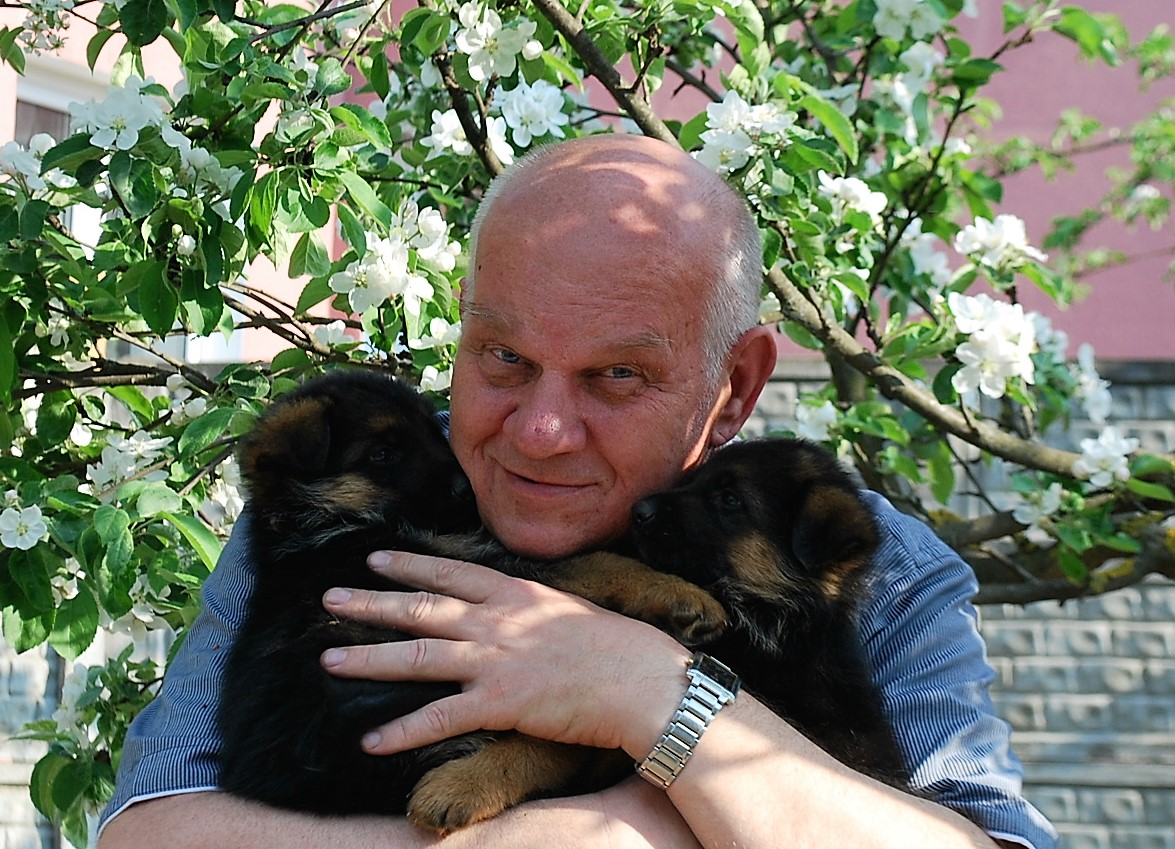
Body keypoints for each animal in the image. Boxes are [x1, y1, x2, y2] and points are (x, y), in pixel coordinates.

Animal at [217, 369, 727, 833]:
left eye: (433, 433)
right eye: (382, 454)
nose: (468, 489)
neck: (326, 522)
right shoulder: (478, 564)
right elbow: (590, 563)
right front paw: (684, 595)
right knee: (556, 746)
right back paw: (455, 789)